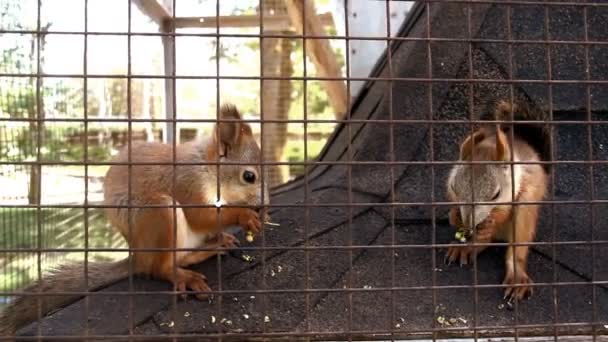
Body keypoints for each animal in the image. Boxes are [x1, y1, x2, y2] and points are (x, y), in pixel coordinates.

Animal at [0, 103, 270, 336]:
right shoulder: (187, 184)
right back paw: (184, 275)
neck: (207, 167)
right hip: (159, 213)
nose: (264, 204)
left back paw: (214, 244)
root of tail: (137, 256)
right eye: (249, 176)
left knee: (184, 256)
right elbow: (200, 216)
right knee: (159, 268)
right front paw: (245, 214)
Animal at [444, 98, 548, 302]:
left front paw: (490, 222)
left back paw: (516, 276)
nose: (468, 222)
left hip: (525, 216)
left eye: (496, 194)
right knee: (484, 242)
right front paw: (455, 216)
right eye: (454, 187)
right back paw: (467, 247)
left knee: (516, 250)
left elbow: (505, 212)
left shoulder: (518, 187)